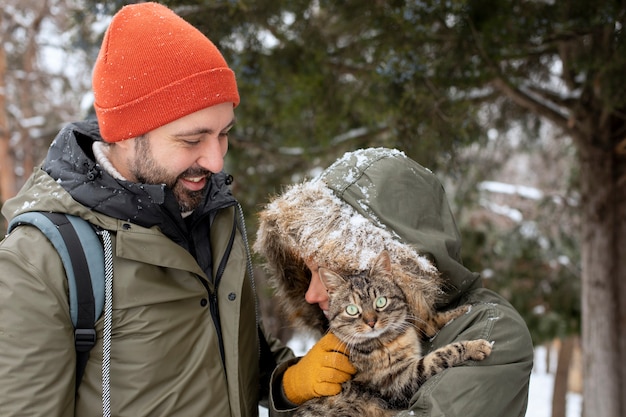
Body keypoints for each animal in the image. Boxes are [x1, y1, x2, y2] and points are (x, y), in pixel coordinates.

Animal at [292, 250, 492, 416]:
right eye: (351, 309)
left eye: (381, 301)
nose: (371, 322)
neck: (393, 338)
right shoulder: (398, 381)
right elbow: (438, 357)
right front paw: (475, 346)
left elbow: (431, 321)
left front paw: (462, 310)